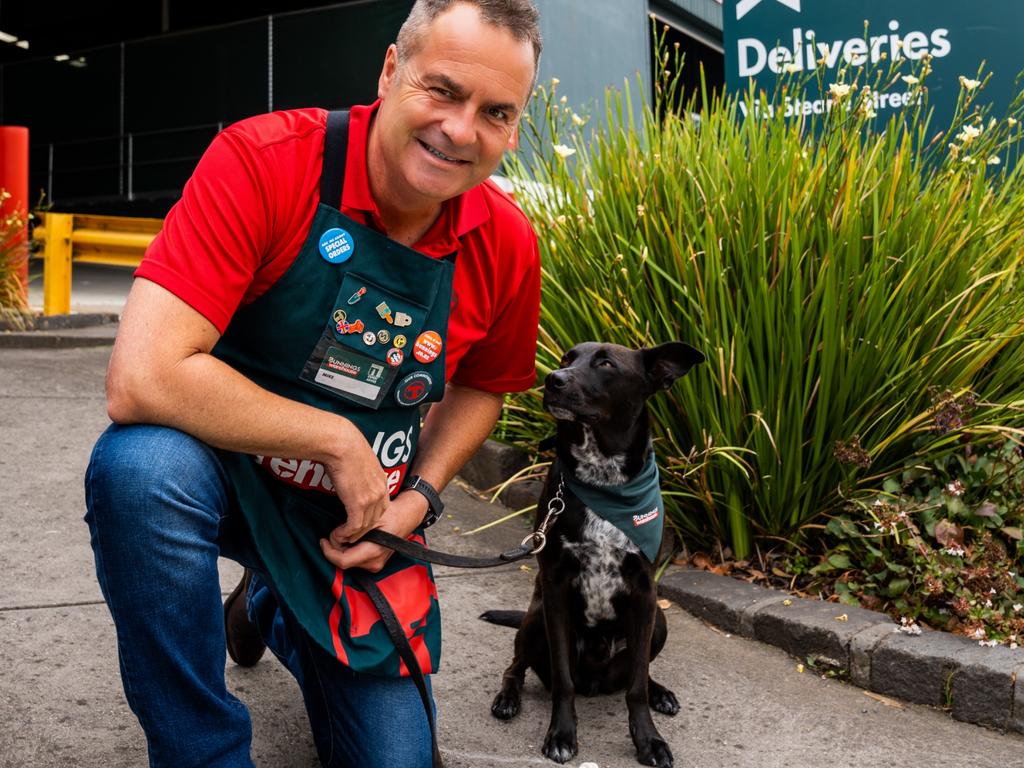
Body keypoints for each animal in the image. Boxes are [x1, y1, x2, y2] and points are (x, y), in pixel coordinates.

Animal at [479, 342, 704, 768]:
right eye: (567, 359)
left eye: (605, 363)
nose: (553, 379)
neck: (605, 479)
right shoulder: (555, 588)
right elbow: (563, 681)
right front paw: (561, 734)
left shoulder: (645, 592)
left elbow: (636, 687)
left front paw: (649, 740)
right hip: (536, 620)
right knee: (515, 667)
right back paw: (507, 699)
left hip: (659, 621)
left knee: (638, 672)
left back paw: (660, 691)